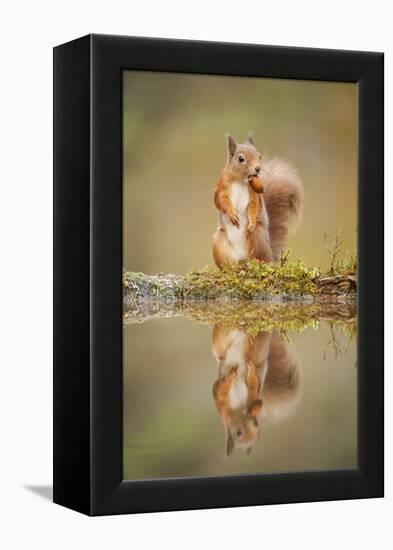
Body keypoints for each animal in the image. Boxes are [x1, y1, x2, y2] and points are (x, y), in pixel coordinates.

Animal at [211, 132, 304, 266]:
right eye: (241, 159)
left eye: (259, 156)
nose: (258, 168)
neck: (241, 180)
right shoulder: (221, 187)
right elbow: (220, 201)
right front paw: (232, 214)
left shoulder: (254, 195)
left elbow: (254, 206)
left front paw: (251, 222)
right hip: (219, 242)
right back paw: (233, 267)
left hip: (258, 236)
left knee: (260, 259)